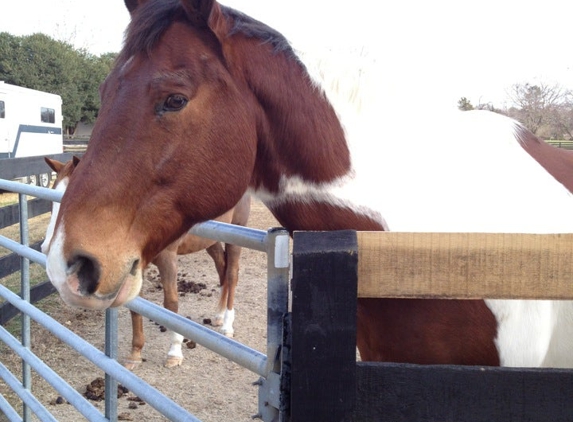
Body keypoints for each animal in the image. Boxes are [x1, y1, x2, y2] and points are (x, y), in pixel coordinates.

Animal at [42, 157, 250, 368]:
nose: (46, 247)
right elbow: (136, 307)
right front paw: (135, 354)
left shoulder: (168, 259)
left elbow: (171, 304)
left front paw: (174, 353)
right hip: (211, 242)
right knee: (222, 270)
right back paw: (218, 316)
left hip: (236, 236)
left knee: (231, 274)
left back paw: (227, 325)